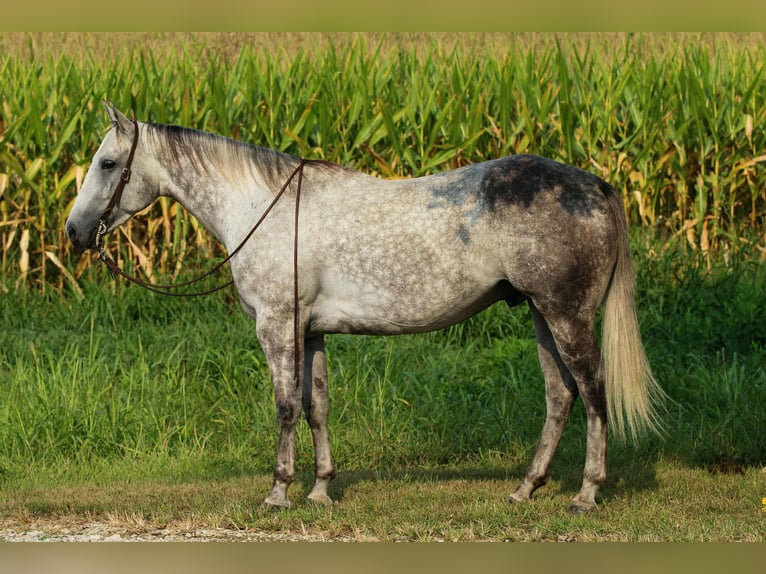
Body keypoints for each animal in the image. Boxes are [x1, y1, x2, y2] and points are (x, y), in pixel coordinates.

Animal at [66, 103, 664, 513]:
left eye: (108, 162)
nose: (74, 231)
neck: (263, 208)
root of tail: (595, 185)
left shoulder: (277, 328)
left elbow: (285, 407)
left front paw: (279, 492)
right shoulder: (310, 333)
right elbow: (317, 407)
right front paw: (320, 490)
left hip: (567, 316)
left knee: (593, 393)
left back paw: (586, 494)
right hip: (542, 315)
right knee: (560, 395)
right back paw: (525, 489)